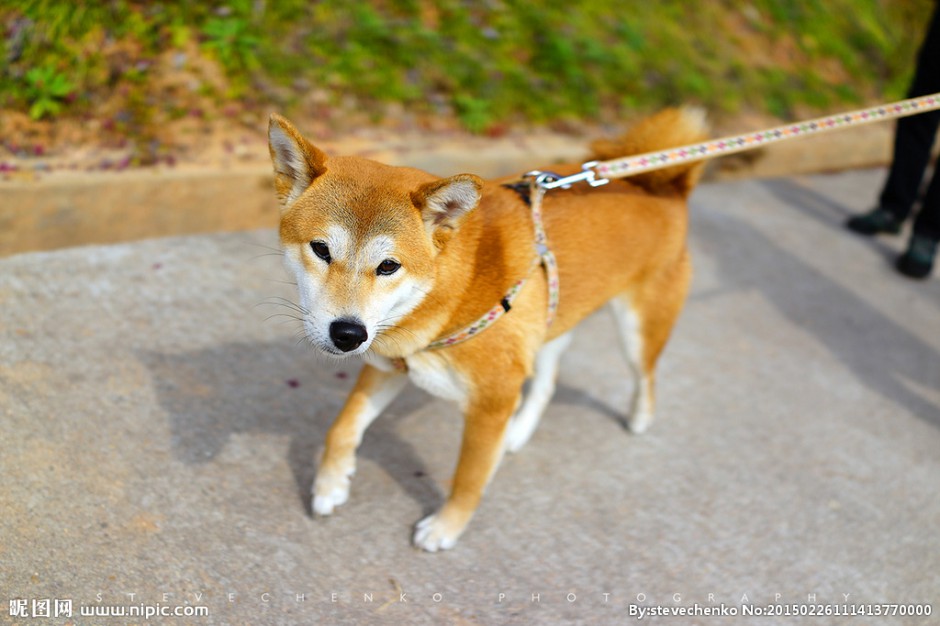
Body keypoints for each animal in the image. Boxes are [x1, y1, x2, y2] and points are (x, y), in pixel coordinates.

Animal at [264, 108, 704, 552]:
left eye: (388, 266)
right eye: (321, 249)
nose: (348, 334)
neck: (453, 289)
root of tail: (662, 186)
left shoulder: (491, 402)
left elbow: (468, 479)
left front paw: (446, 528)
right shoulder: (390, 364)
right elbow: (342, 428)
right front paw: (330, 485)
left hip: (637, 330)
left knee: (646, 377)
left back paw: (639, 419)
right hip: (549, 323)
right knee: (547, 383)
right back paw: (518, 432)